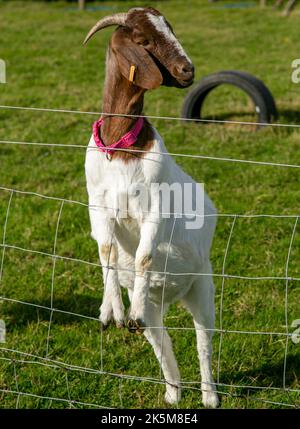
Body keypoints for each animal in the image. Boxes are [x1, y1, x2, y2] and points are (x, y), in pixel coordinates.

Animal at [83, 7, 219, 408]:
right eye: (143, 41)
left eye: (170, 29)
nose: (188, 70)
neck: (121, 147)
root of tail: (169, 295)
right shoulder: (98, 203)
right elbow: (107, 250)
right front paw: (110, 312)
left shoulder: (155, 206)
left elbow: (143, 256)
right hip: (163, 308)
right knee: (161, 341)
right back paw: (172, 391)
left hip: (202, 287)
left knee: (203, 341)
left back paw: (209, 396)